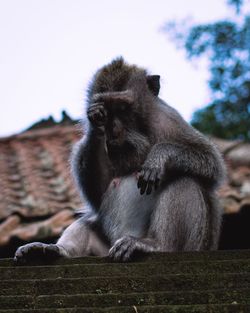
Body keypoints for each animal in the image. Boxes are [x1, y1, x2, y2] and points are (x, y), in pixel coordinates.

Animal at [13, 57, 226, 262]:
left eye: (123, 107)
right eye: (105, 112)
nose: (114, 130)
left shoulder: (167, 119)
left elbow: (211, 162)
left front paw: (159, 157)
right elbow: (97, 193)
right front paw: (95, 125)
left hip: (194, 244)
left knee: (184, 180)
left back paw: (156, 244)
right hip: (106, 248)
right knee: (88, 221)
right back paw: (55, 251)